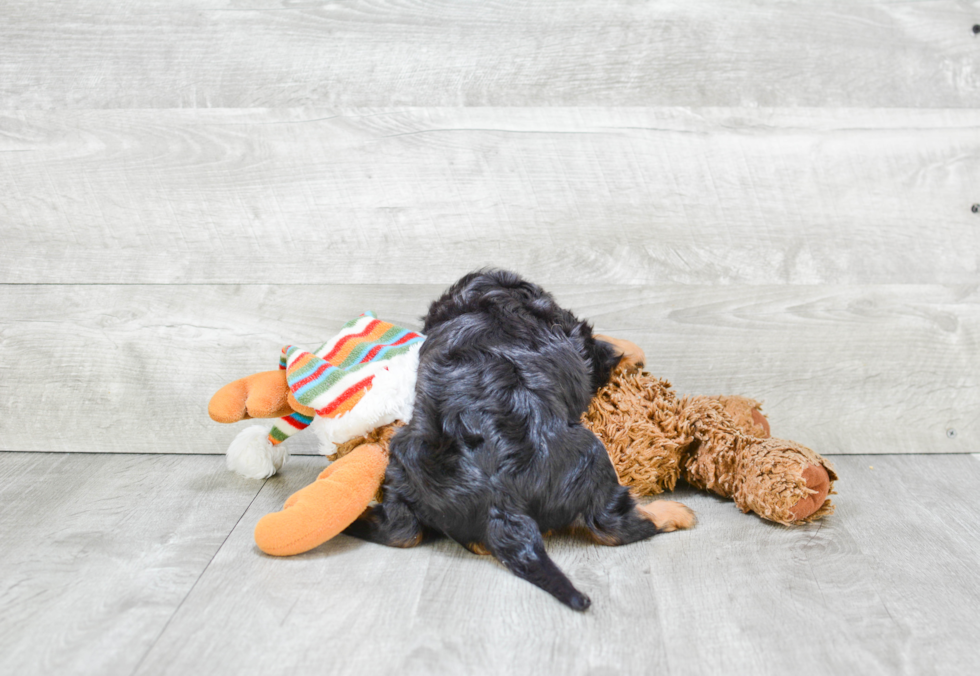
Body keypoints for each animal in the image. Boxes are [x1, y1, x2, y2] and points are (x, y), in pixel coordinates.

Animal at [344, 270, 668, 612]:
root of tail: (496, 501)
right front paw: (635, 353)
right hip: (590, 455)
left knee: (401, 531)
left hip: (401, 467)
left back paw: (361, 517)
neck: (480, 304)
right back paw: (674, 513)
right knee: (612, 525)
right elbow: (606, 347)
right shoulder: (579, 342)